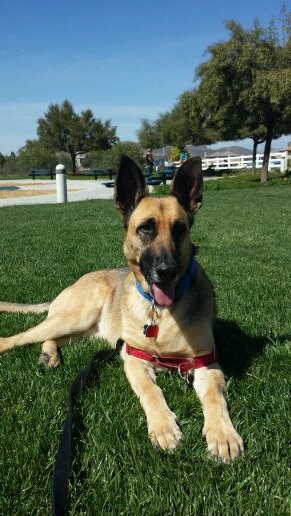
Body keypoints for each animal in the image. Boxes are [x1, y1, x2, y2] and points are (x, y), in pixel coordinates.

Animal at [0, 155, 244, 462]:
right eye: (146, 228)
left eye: (179, 228)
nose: (167, 271)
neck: (160, 313)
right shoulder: (133, 359)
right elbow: (151, 390)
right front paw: (163, 427)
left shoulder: (206, 364)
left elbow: (214, 397)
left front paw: (222, 434)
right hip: (75, 316)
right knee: (18, 337)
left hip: (85, 330)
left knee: (51, 338)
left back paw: (50, 355)